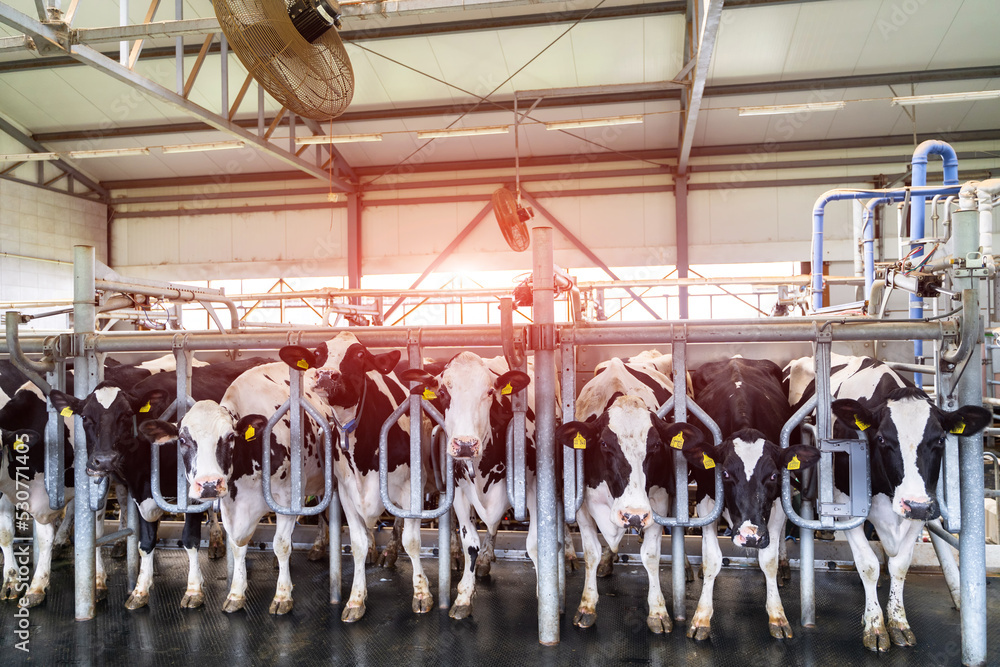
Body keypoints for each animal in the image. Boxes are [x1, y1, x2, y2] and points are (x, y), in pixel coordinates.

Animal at [400, 352, 540, 620]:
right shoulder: (460, 492)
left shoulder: (534, 486)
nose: (465, 444)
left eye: (490, 391)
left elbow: (536, 542)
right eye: (443, 392)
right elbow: (470, 542)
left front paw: (547, 594)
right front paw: (464, 596)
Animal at [556, 358, 704, 636]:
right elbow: (591, 553)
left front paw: (658, 611)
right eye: (604, 444)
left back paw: (685, 567)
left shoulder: (657, 503)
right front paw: (586, 606)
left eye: (655, 446)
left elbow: (651, 555)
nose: (633, 515)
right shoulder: (581, 505)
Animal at [680, 360, 820, 640]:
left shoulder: (777, 502)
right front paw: (701, 617)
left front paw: (777, 615)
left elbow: (769, 561)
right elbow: (712, 559)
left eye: (773, 475)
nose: (751, 536)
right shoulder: (705, 498)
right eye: (724, 473)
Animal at [788, 354, 992, 652]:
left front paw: (898, 622)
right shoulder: (845, 504)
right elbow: (868, 564)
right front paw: (874, 626)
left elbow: (900, 565)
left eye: (940, 439)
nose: (914, 505)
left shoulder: (922, 505)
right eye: (882, 438)